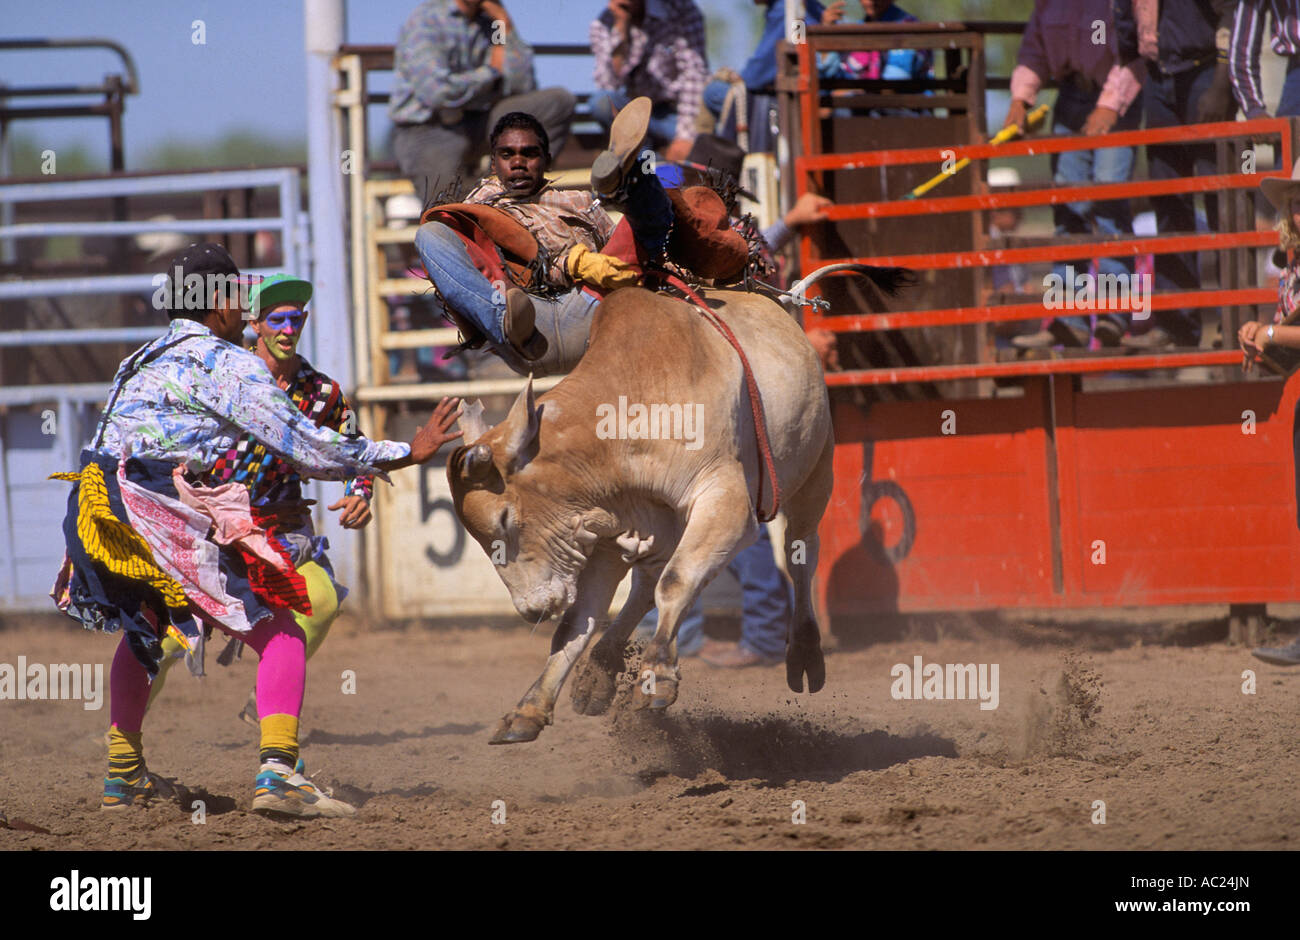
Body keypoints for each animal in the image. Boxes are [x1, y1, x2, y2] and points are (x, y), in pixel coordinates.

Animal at [447, 267, 904, 748]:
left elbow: (676, 581)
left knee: (800, 554)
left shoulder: (726, 502)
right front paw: (528, 709)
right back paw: (598, 672)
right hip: (663, 528)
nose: (531, 610)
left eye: (504, 518)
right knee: (646, 584)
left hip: (815, 475)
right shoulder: (606, 530)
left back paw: (804, 651)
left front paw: (656, 677)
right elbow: (577, 622)